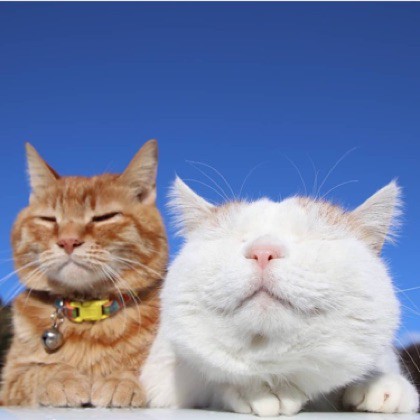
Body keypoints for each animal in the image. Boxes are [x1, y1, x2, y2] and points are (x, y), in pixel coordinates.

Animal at [1, 140, 168, 407]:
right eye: (48, 219)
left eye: (104, 217)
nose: (68, 241)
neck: (88, 312)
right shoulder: (10, 380)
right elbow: (39, 370)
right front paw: (61, 378)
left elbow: (143, 369)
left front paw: (121, 380)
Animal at [140, 177, 419, 415]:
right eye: (237, 238)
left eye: (310, 239)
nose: (263, 251)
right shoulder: (161, 373)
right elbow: (207, 375)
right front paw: (256, 393)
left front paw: (380, 384)